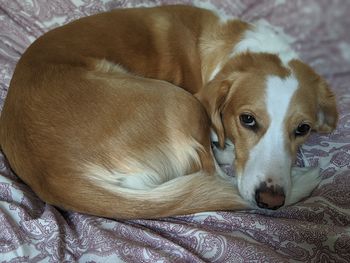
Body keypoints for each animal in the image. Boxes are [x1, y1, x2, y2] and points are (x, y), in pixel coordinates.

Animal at [0, 5, 340, 220]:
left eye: (303, 129)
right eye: (248, 120)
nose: (271, 202)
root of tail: (56, 176)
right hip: (182, 101)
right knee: (214, 175)